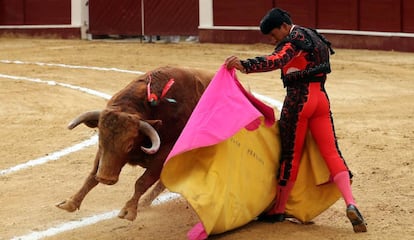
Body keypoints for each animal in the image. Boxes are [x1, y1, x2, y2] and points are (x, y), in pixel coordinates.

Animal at [56, 66, 213, 220]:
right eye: (100, 139)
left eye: (129, 145)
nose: (106, 178)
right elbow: (92, 175)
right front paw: (70, 202)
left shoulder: (164, 155)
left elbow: (142, 181)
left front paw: (128, 210)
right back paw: (145, 203)